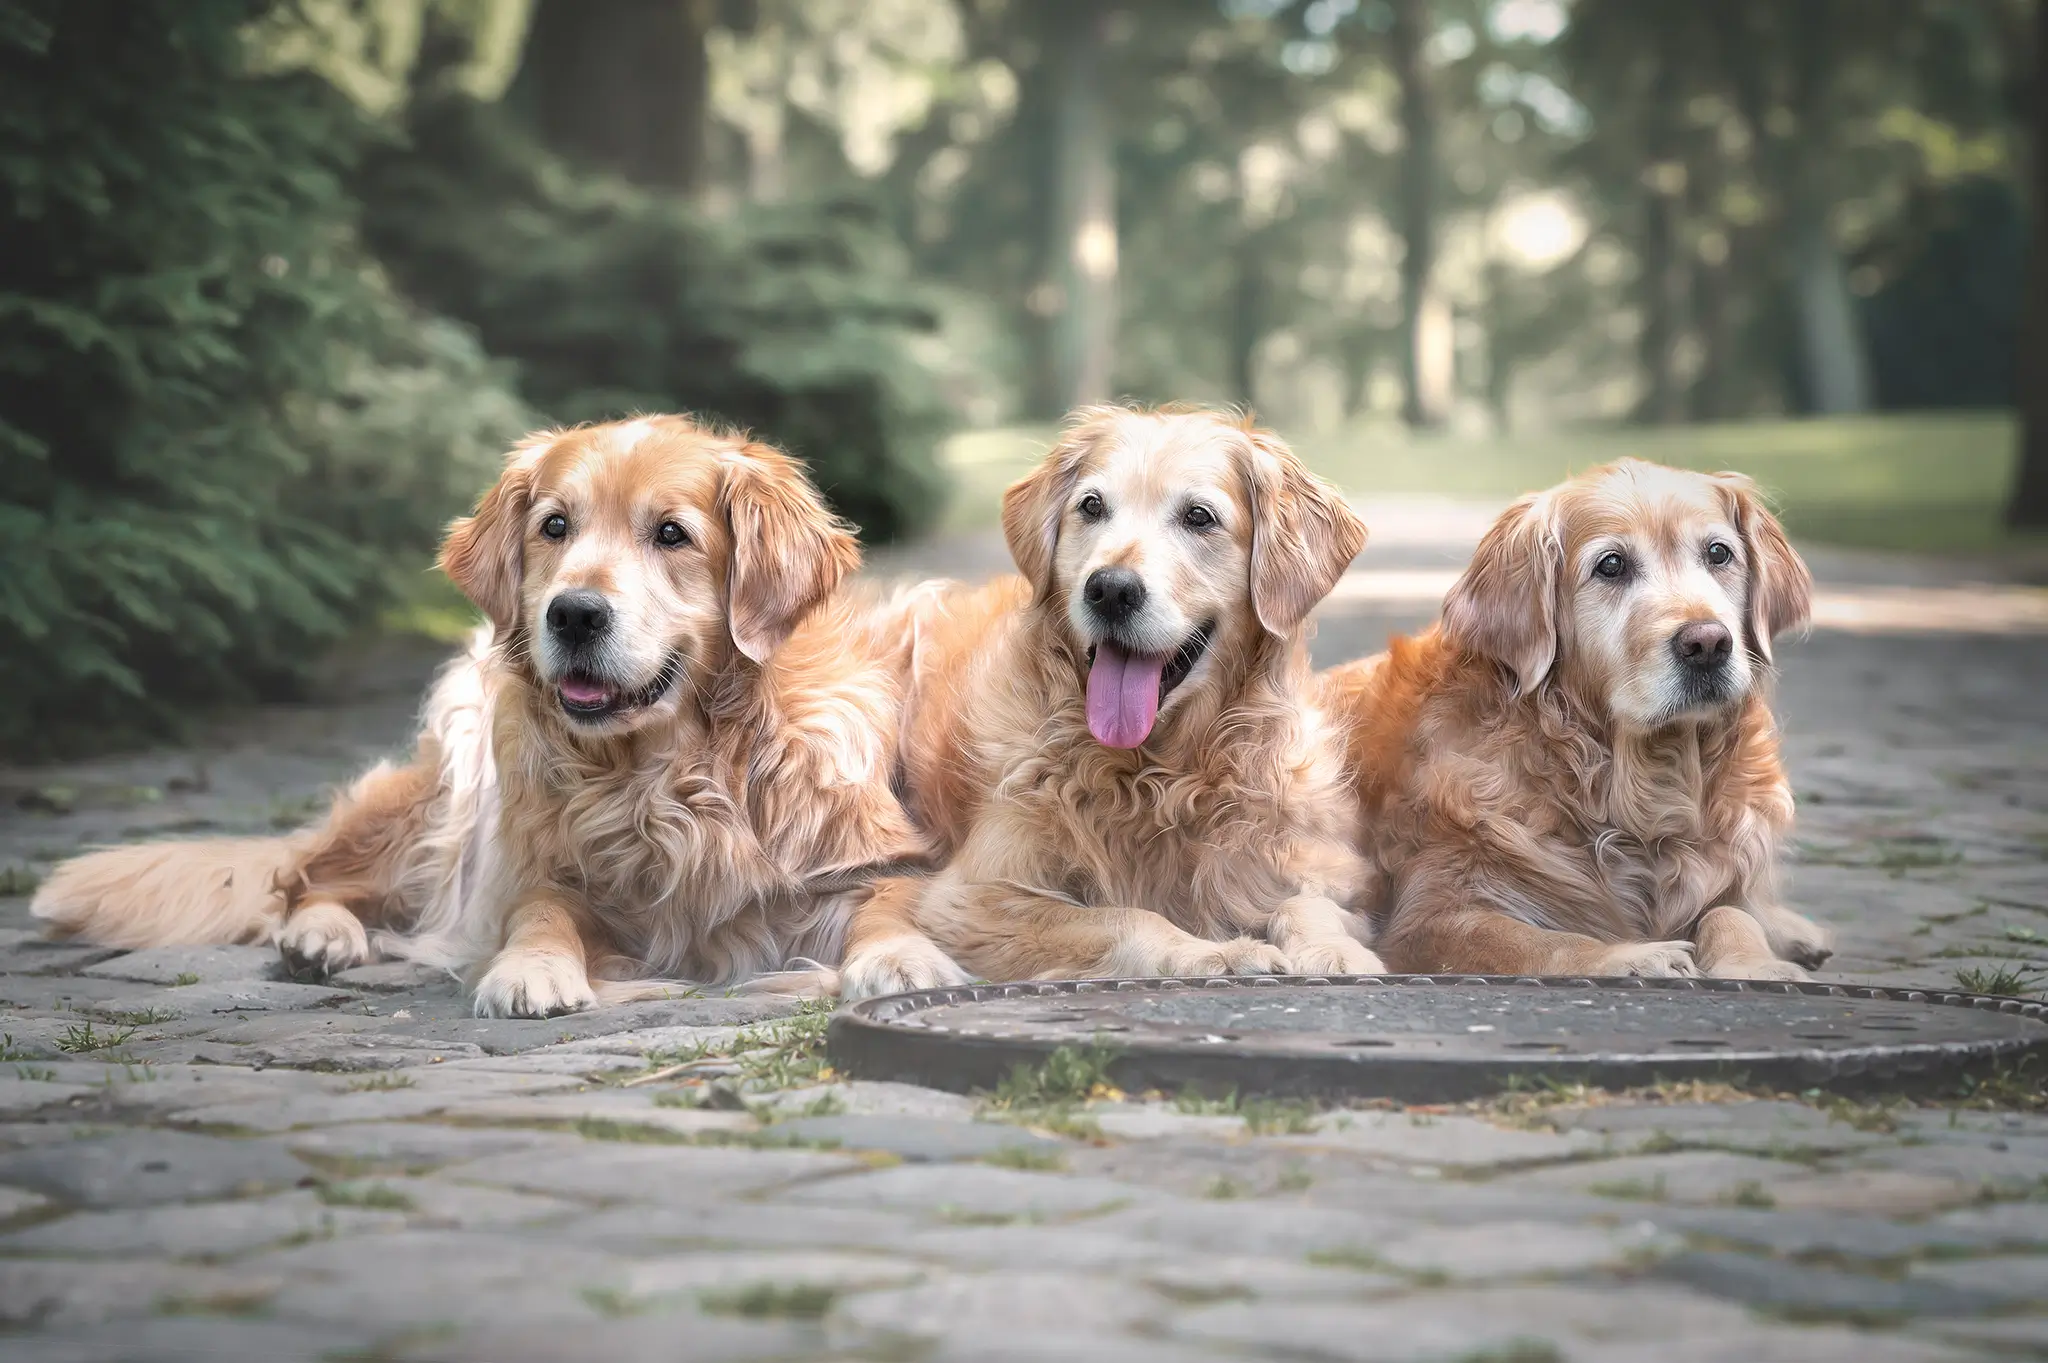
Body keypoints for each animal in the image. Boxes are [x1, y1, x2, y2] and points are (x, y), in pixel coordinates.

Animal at [1327, 456, 1843, 978]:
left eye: (1719, 554)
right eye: (1611, 565)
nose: (1708, 644)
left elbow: (1731, 911)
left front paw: (1756, 962)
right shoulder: (1427, 917)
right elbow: (1541, 940)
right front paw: (1636, 955)